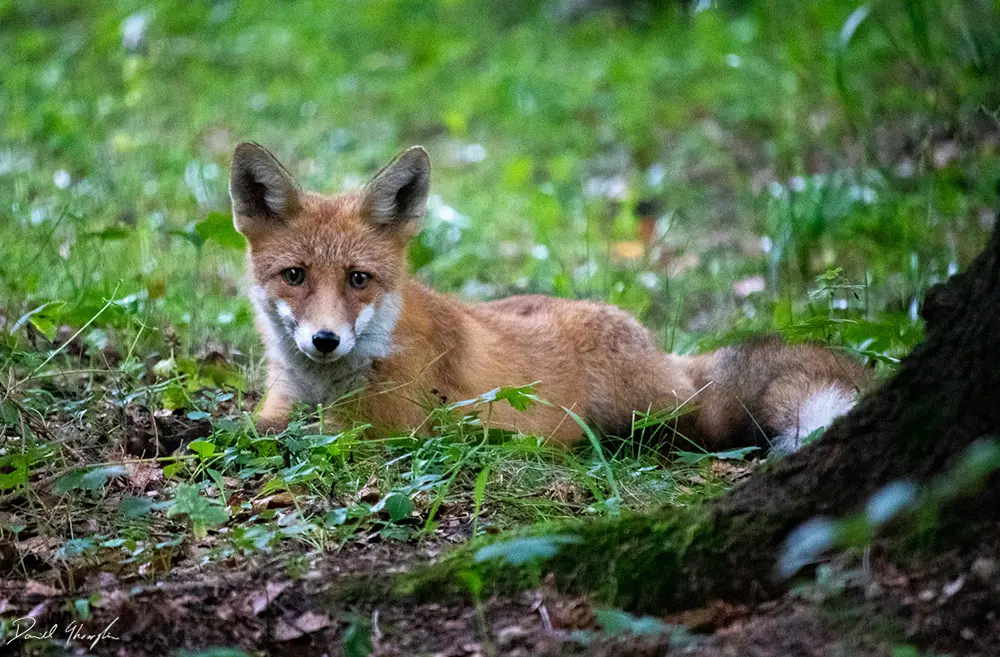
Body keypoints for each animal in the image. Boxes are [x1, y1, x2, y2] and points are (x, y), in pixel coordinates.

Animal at [229, 142, 872, 453]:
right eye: (295, 275)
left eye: (358, 279)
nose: (325, 340)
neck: (324, 386)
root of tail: (660, 351)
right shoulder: (282, 406)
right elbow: (249, 426)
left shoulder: (385, 427)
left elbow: (286, 436)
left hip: (646, 413)